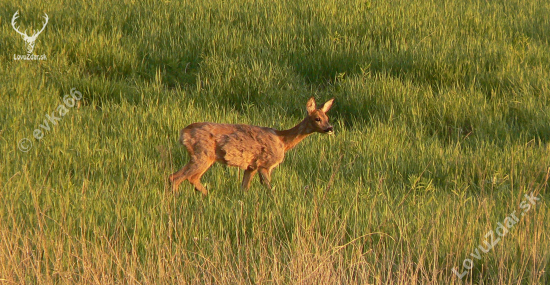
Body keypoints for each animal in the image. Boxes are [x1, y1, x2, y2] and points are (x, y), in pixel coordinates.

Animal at [168, 96, 334, 194]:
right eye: (317, 118)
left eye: (327, 117)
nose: (330, 128)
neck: (282, 140)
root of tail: (183, 133)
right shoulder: (265, 164)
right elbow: (268, 187)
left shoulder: (251, 166)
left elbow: (244, 188)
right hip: (202, 155)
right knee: (178, 177)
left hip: (201, 156)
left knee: (185, 177)